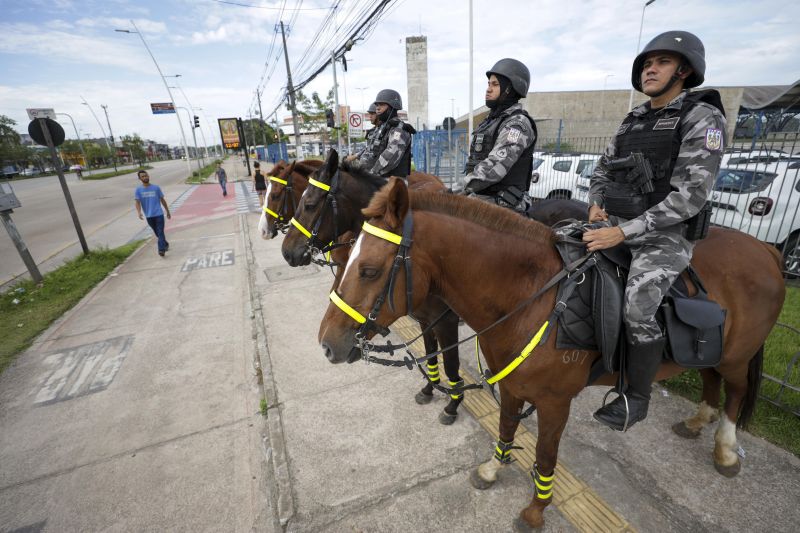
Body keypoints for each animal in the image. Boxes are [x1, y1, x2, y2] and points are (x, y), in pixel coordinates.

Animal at [318, 178, 780, 528]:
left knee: (736, 393)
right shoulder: (510, 384)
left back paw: (725, 447)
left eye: (369, 270)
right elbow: (506, 427)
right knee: (710, 379)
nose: (327, 342)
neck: (532, 297)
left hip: (737, 356)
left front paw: (537, 510)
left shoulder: (555, 402)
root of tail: (767, 249)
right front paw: (493, 468)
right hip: (711, 351)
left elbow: (545, 454)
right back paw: (698, 420)